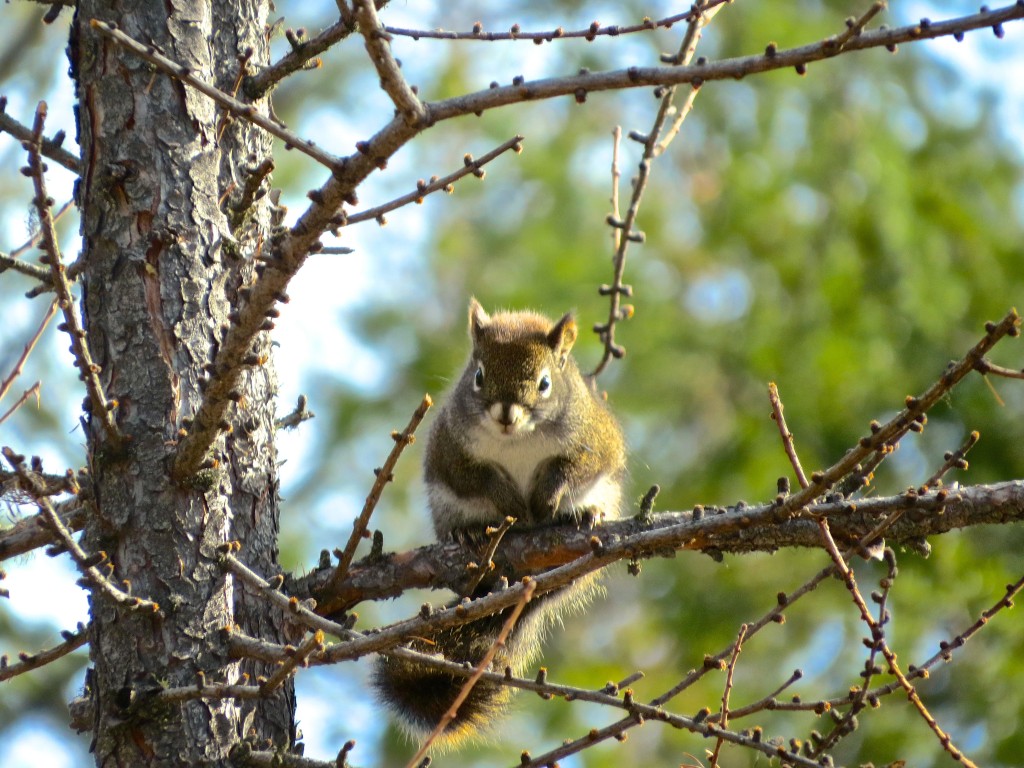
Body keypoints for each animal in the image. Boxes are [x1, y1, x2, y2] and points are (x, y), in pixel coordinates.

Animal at [368, 299, 622, 753]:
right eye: (479, 376)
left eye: (544, 383)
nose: (506, 415)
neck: (517, 439)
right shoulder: (452, 450)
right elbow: (476, 477)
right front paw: (511, 503)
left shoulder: (594, 441)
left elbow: (574, 467)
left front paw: (549, 498)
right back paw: (470, 532)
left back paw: (581, 515)